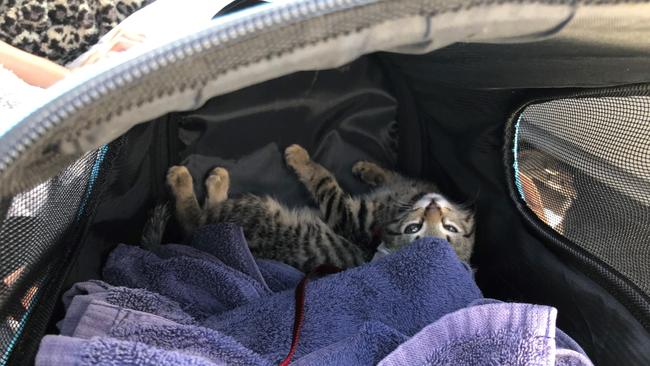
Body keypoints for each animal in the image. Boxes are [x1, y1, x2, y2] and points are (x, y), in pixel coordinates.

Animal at [165, 144, 474, 272]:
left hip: (249, 212)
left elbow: (323, 179)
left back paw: (193, 180)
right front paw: (368, 169)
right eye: (414, 228)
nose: (433, 207)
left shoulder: (346, 216)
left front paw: (299, 158)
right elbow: (389, 176)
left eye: (447, 229)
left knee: (194, 217)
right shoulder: (404, 186)